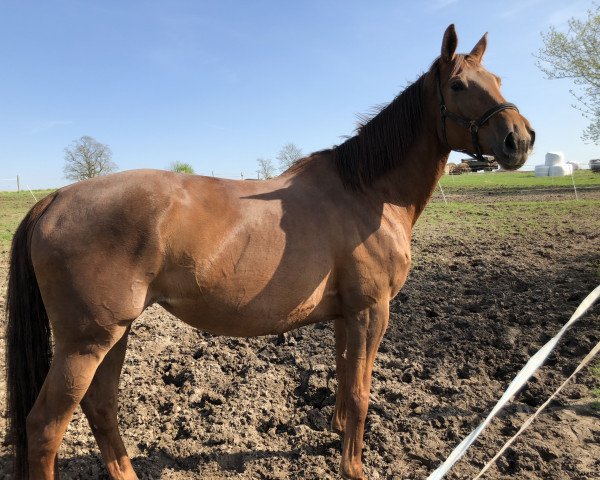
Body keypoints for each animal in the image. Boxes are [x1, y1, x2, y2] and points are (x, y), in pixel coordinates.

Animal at [5, 26, 536, 480]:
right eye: (460, 85)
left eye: (498, 80)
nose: (521, 139)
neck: (367, 192)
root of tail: (55, 198)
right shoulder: (371, 311)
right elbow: (361, 392)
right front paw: (354, 468)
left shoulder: (346, 315)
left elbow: (345, 381)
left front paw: (336, 440)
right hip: (86, 342)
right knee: (45, 426)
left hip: (114, 333)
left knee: (101, 407)